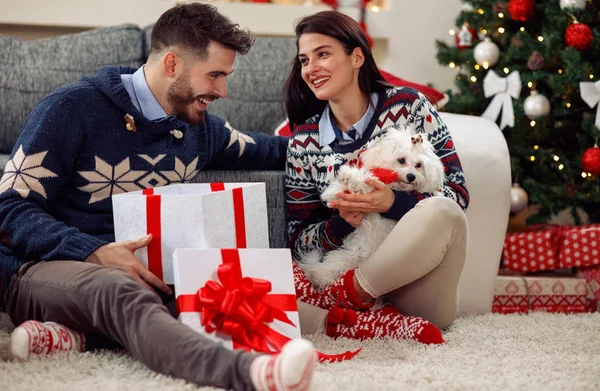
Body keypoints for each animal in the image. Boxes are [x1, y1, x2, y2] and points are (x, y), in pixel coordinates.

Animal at [298, 126, 446, 290]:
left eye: (419, 165)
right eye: (401, 160)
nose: (411, 176)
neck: (395, 186)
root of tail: (360, 260)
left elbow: (364, 185)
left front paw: (353, 179)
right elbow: (339, 191)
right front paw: (343, 181)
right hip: (344, 256)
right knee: (331, 266)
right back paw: (317, 274)